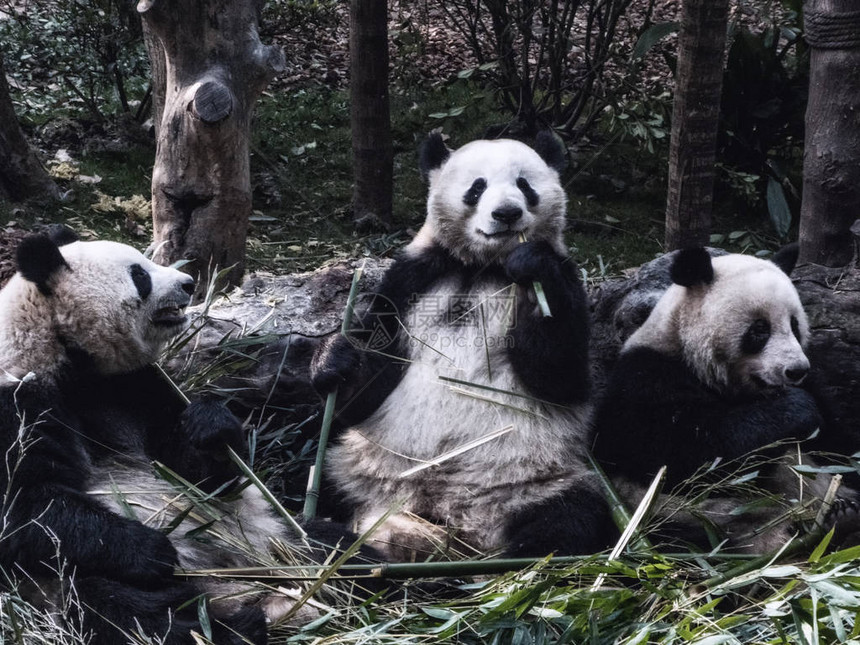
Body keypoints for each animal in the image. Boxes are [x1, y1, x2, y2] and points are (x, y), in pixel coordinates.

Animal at [0, 229, 352, 644]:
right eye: (139, 275)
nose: (188, 283)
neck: (68, 352)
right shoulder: (18, 400)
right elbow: (26, 507)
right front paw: (152, 549)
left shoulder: (134, 386)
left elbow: (196, 473)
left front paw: (210, 426)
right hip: (57, 587)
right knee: (116, 605)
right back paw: (231, 627)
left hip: (275, 534)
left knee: (334, 546)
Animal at [312, 131, 616, 560]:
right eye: (477, 187)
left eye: (525, 185)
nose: (507, 214)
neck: (483, 267)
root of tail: (458, 519)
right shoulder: (411, 281)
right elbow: (369, 384)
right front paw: (335, 360)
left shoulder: (567, 281)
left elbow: (560, 377)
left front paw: (533, 265)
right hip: (362, 469)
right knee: (327, 485)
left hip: (536, 480)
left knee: (571, 516)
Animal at [592, 245, 860, 548]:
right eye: (760, 329)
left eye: (794, 325)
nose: (796, 370)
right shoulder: (647, 379)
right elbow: (687, 456)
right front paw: (797, 409)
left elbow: (838, 443)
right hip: (692, 520)